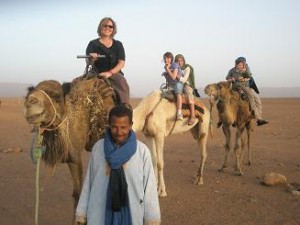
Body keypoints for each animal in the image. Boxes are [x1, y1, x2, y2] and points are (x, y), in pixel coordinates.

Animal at [22, 78, 115, 210]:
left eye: (57, 96)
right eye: (29, 94)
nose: (30, 102)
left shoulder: (75, 158)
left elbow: (78, 194)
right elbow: (76, 194)